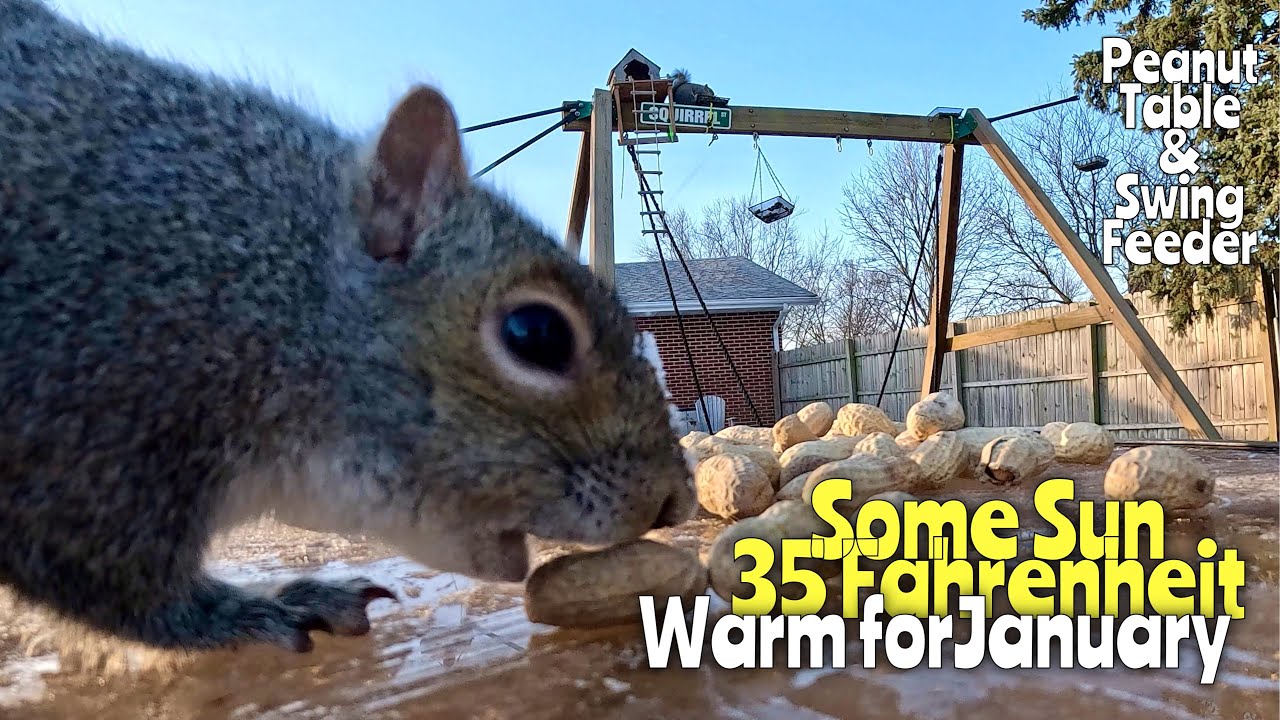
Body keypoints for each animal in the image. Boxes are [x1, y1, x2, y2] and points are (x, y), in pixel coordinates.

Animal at [0, 0, 696, 655]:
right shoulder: (90, 431)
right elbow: (129, 589)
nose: (674, 502)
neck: (274, 286)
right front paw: (269, 606)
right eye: (536, 334)